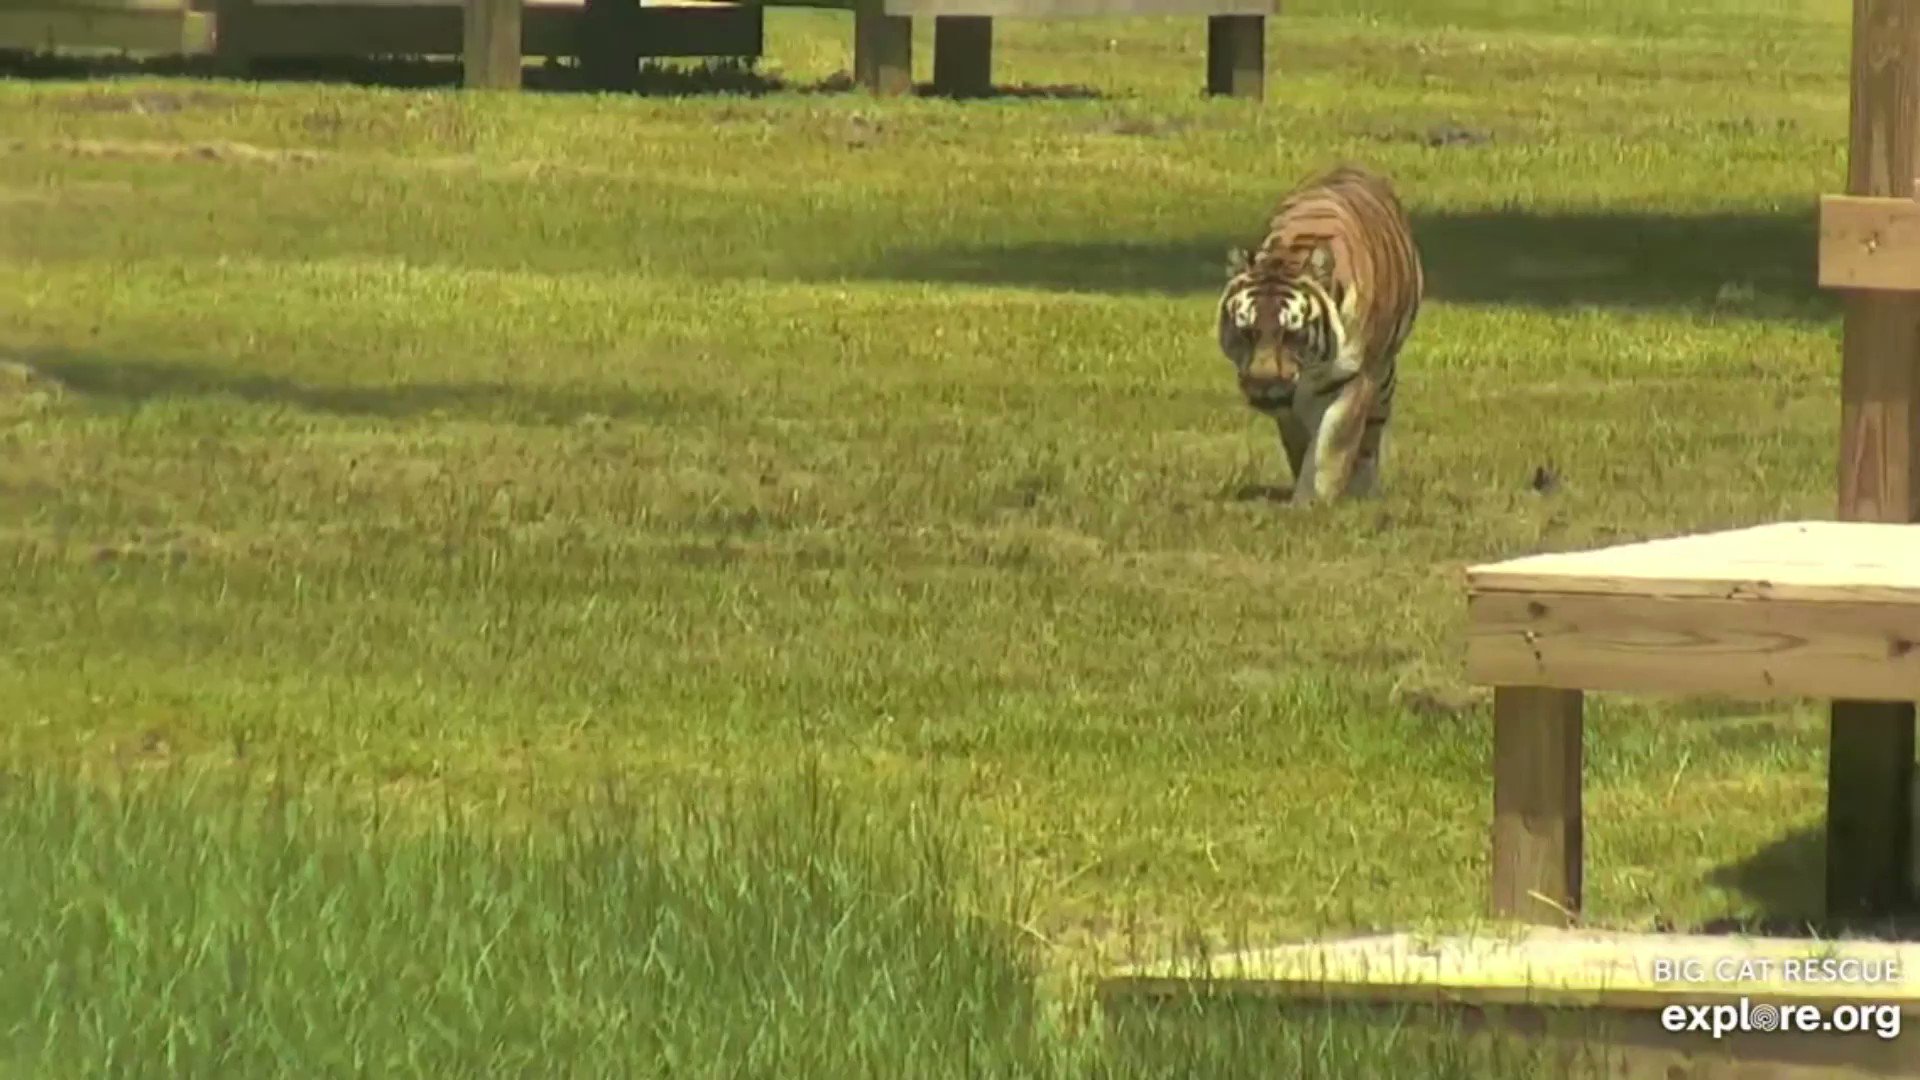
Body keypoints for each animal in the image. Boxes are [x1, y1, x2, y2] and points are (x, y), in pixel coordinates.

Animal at [1216, 164, 1424, 505]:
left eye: (1291, 334)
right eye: (1247, 332)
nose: (1262, 384)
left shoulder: (1354, 377)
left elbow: (1332, 445)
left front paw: (1315, 502)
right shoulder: (1289, 403)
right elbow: (1300, 443)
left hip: (1383, 374)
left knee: (1370, 434)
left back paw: (1363, 490)